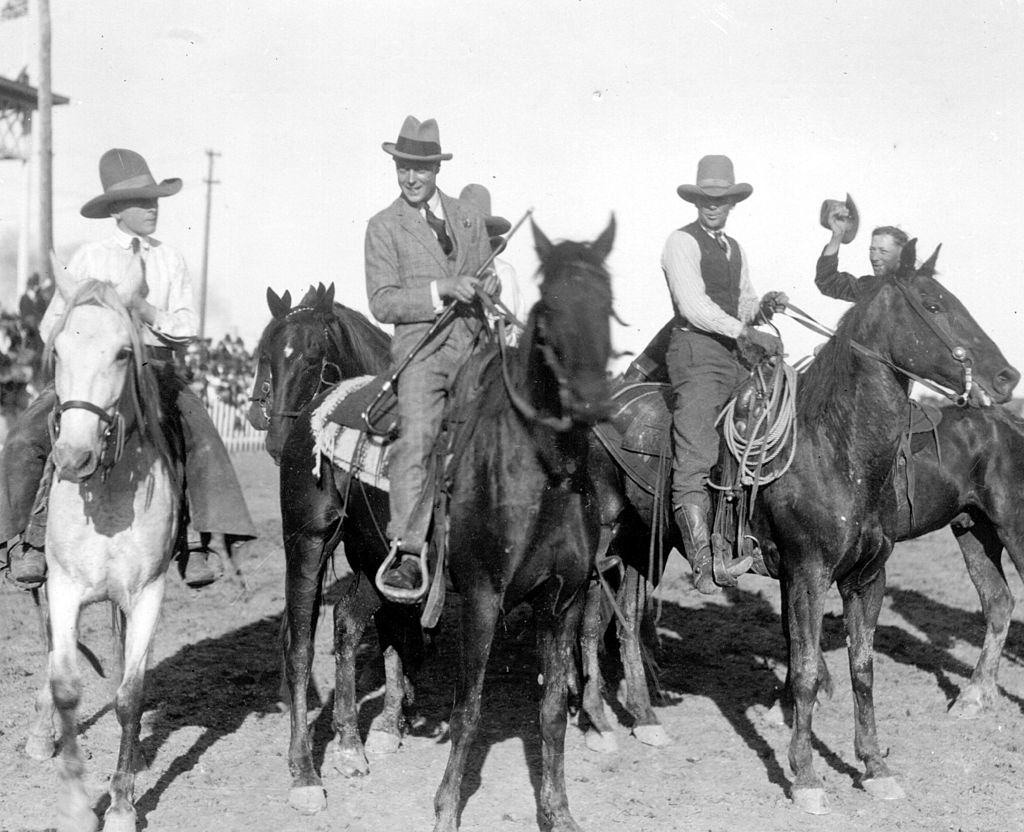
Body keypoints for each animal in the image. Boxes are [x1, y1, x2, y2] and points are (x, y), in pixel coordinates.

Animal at [26, 262, 184, 832]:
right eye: (57, 350)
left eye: (122, 352)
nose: (72, 457)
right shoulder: (65, 588)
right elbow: (66, 688)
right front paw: (77, 805)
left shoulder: (148, 595)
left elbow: (129, 696)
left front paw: (121, 803)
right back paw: (40, 736)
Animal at [264, 218, 614, 827]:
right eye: (548, 308)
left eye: (608, 303)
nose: (589, 397)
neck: (545, 469)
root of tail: (318, 408)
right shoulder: (481, 598)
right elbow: (469, 707)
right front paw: (447, 807)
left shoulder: (564, 599)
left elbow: (550, 714)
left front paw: (558, 812)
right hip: (306, 544)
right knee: (300, 646)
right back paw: (306, 775)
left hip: (374, 559)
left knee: (349, 621)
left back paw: (351, 748)